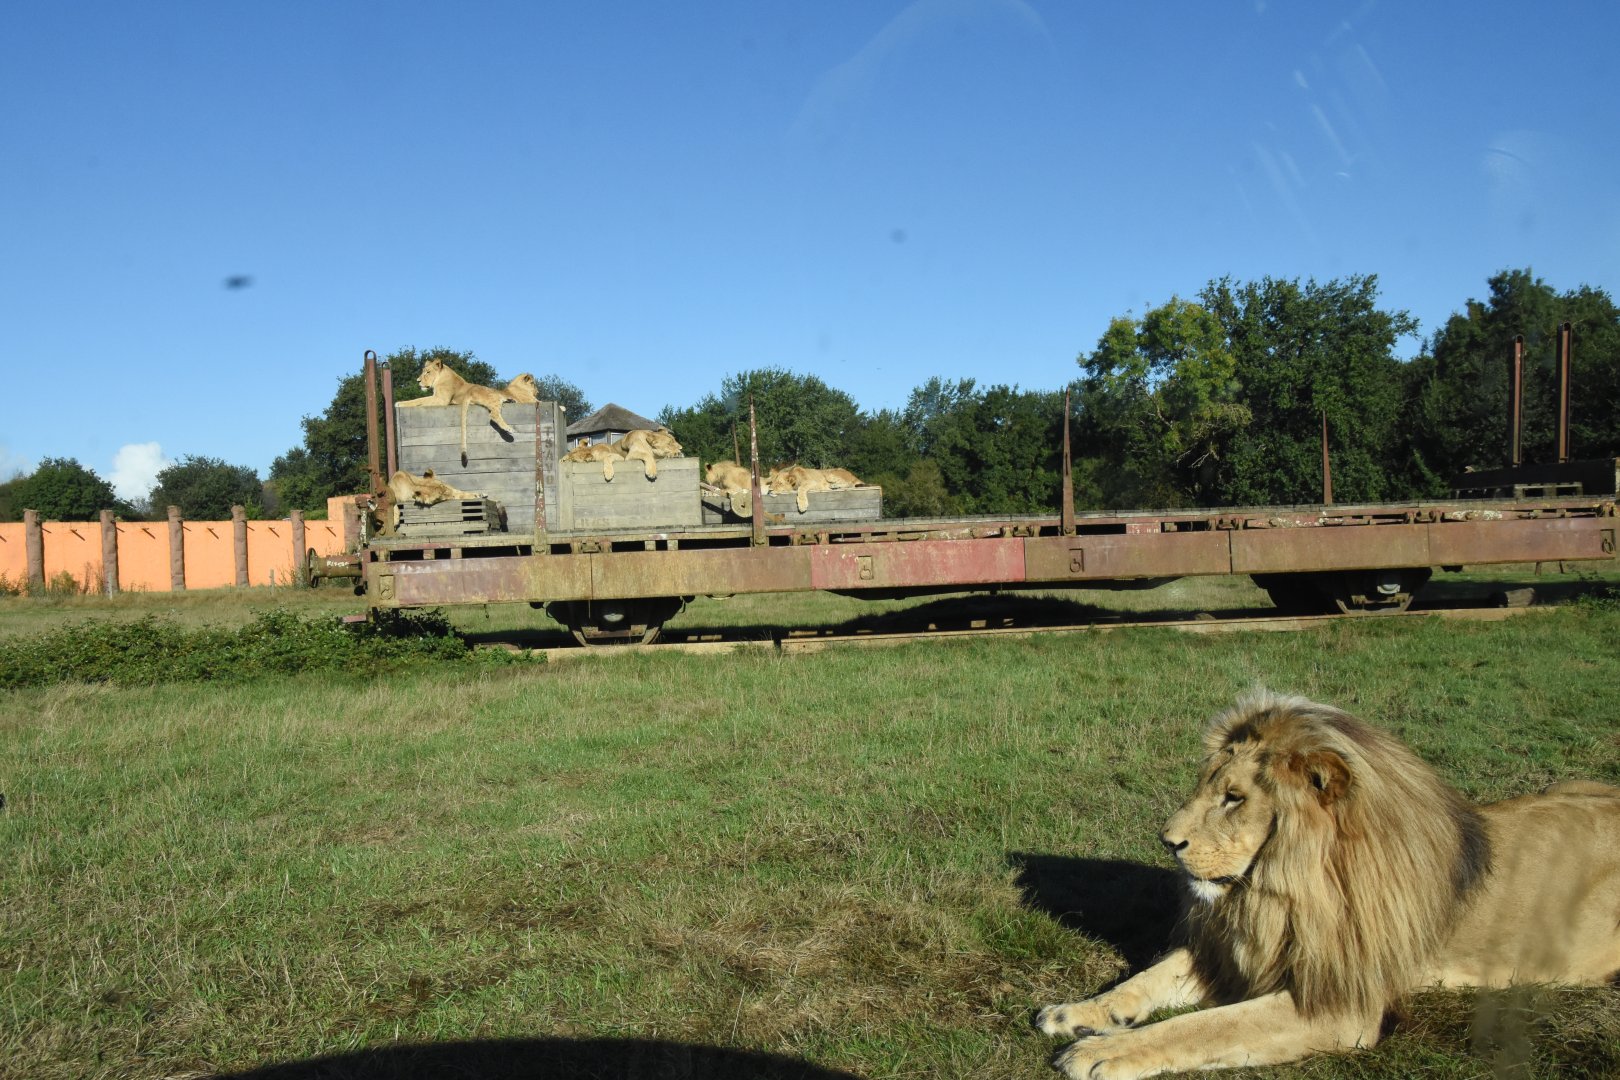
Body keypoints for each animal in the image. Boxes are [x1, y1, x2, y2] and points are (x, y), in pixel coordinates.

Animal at [1036, 691, 1620, 1078]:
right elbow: (1149, 977)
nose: (1166, 841)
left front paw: (1102, 1051)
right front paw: (1079, 1014)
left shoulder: (1340, 1006)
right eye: (1208, 787)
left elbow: (1207, 1026)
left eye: (1233, 798)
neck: (1277, 892)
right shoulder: (1239, 951)